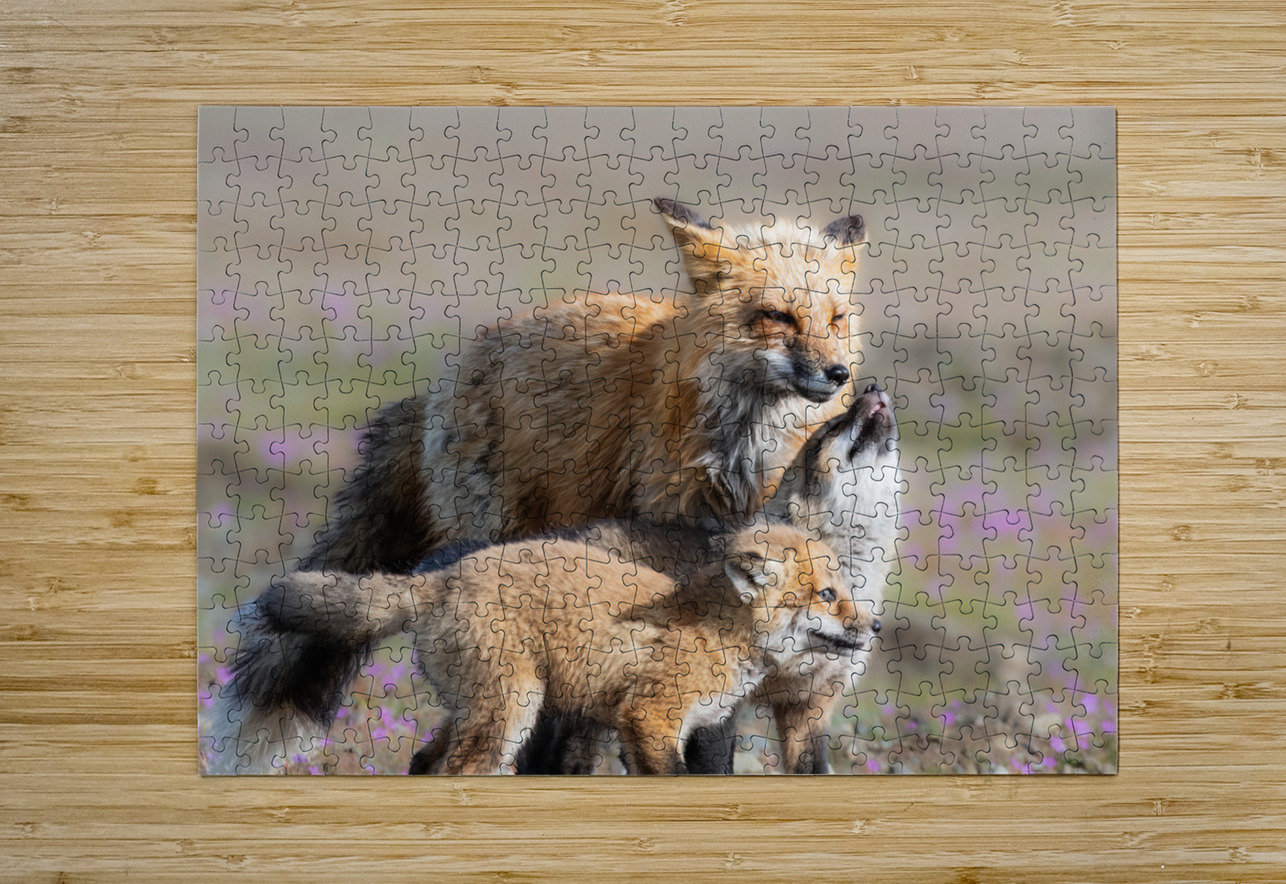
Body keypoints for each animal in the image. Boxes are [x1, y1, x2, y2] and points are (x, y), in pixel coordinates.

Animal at [215, 522, 878, 775]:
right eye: (827, 595)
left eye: (844, 591)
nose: (872, 627)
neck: (716, 630)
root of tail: (442, 576)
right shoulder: (650, 718)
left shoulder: (649, 728)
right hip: (512, 711)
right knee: (454, 771)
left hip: (485, 710)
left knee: (425, 762)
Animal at [300, 198, 867, 574]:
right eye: (779, 317)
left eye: (836, 320)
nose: (838, 375)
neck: (750, 439)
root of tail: (463, 359)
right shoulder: (670, 516)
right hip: (494, 524)